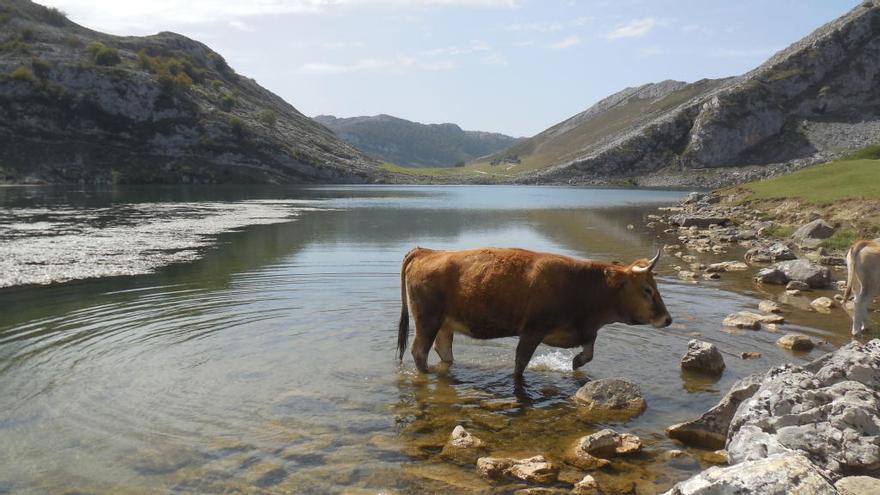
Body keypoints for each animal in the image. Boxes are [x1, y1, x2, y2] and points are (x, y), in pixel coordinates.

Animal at [396, 247, 672, 380]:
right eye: (647, 289)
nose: (668, 319)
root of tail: (426, 251)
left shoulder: (582, 331)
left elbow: (590, 351)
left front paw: (575, 362)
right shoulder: (531, 331)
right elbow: (520, 363)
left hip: (445, 323)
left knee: (443, 350)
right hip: (427, 320)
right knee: (419, 351)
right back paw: (427, 374)